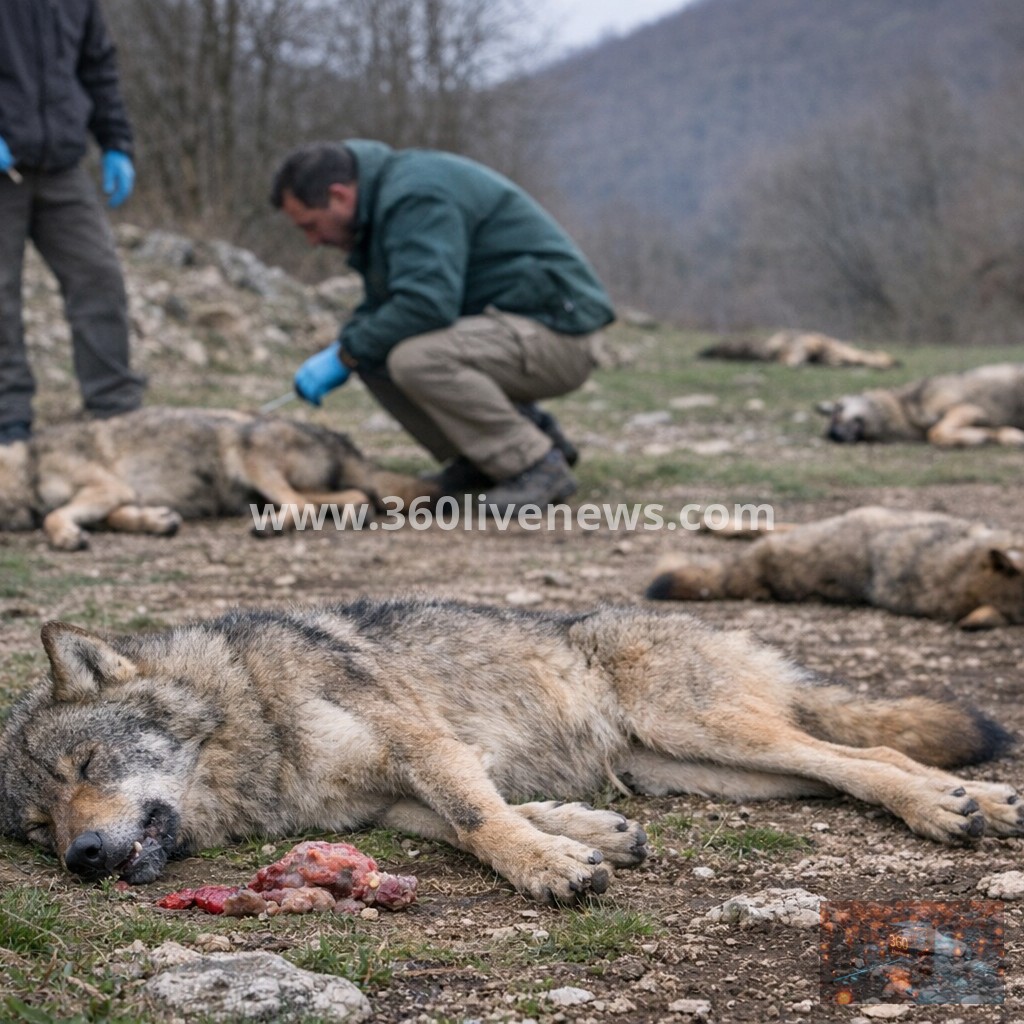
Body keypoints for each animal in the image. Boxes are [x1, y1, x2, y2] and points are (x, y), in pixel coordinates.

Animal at [0, 407, 433, 550]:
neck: (25, 466)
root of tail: (338, 438)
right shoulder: (119, 496)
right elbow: (117, 517)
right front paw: (158, 521)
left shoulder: (108, 487)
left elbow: (52, 515)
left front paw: (65, 536)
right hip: (264, 490)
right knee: (355, 496)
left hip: (250, 455)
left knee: (303, 505)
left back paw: (272, 527)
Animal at [0, 598, 1020, 903]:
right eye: (36, 827)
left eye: (85, 770)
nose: (81, 857)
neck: (247, 709)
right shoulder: (391, 798)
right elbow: (480, 818)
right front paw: (586, 835)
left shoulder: (422, 743)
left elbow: (481, 820)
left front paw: (547, 867)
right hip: (706, 771)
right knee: (849, 761)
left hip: (711, 733)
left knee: (864, 757)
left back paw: (955, 806)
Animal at [817, 363, 1024, 445]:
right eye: (829, 429)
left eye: (837, 411)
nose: (833, 434)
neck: (905, 409)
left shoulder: (967, 409)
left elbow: (935, 432)